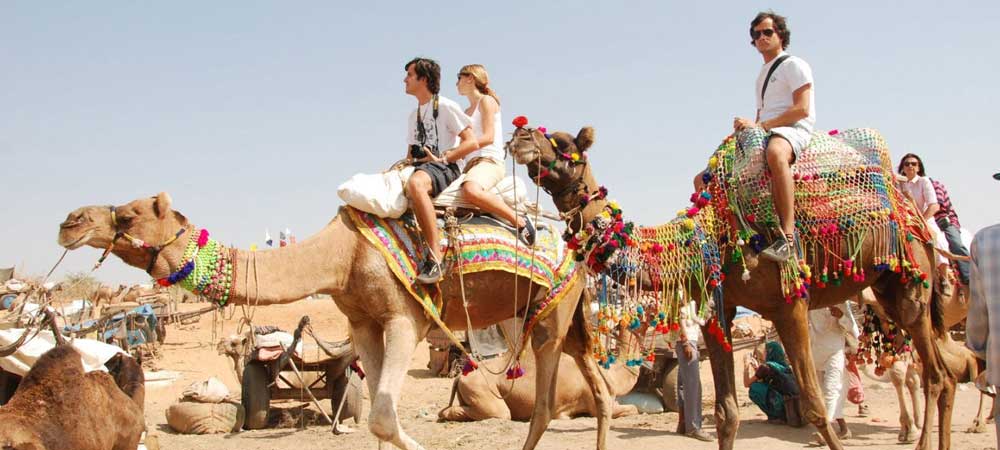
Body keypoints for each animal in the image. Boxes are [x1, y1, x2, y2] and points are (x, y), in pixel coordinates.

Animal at [58, 192, 612, 448]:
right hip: (561, 316)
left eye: (128, 215)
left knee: (543, 404)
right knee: (600, 391)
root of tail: (577, 245)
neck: (340, 256)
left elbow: (384, 417)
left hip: (553, 313)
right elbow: (377, 420)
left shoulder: (404, 317)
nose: (69, 222)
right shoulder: (364, 324)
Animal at [508, 124, 960, 450]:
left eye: (565, 142)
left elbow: (816, 407)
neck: (710, 238)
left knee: (936, 375)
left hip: (911, 286)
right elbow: (727, 414)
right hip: (886, 289)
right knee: (942, 374)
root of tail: (912, 212)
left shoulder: (789, 305)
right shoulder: (718, 312)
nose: (520, 136)